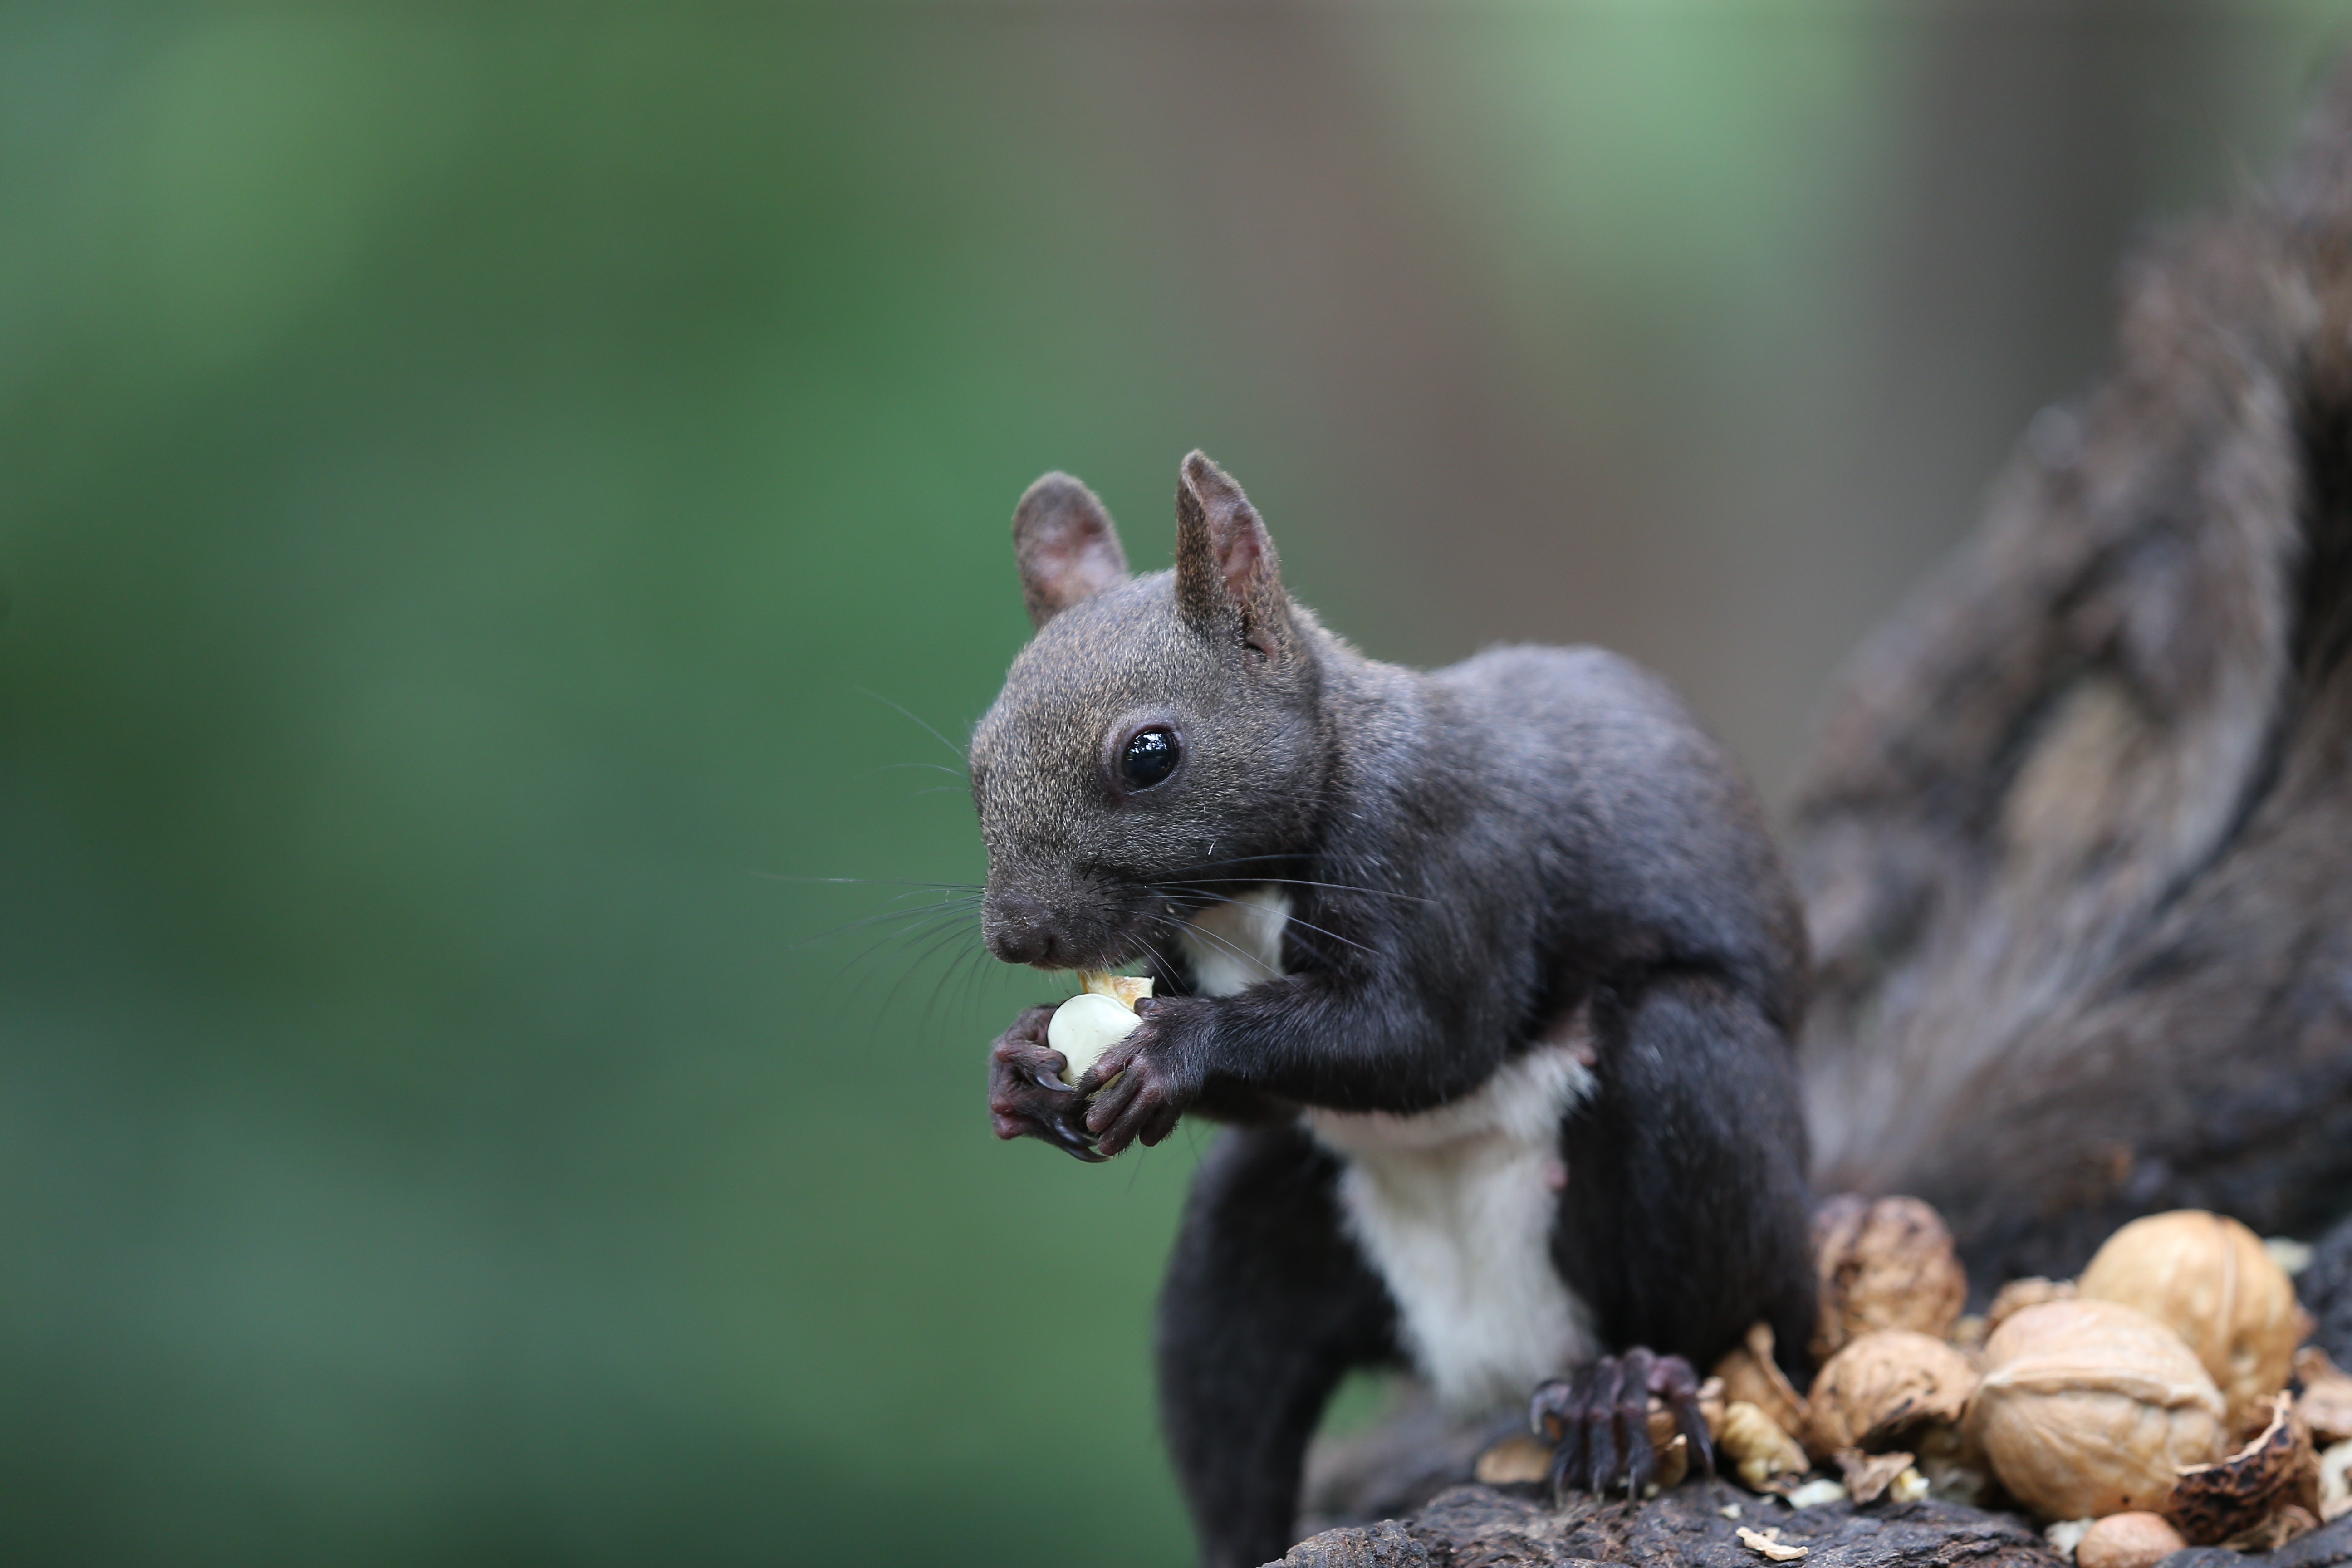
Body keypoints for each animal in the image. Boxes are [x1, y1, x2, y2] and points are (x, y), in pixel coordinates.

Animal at [964, 451, 1806, 1568]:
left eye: (1150, 753)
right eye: (978, 764)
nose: (1018, 935)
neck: (1246, 892)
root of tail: (1497, 1354)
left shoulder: (1449, 851)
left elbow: (1425, 1040)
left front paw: (1175, 1048)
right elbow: (1279, 1096)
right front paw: (1019, 1065)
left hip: (1709, 1131)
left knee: (1712, 1309)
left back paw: (1626, 1386)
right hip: (1262, 1244)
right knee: (1229, 1405)